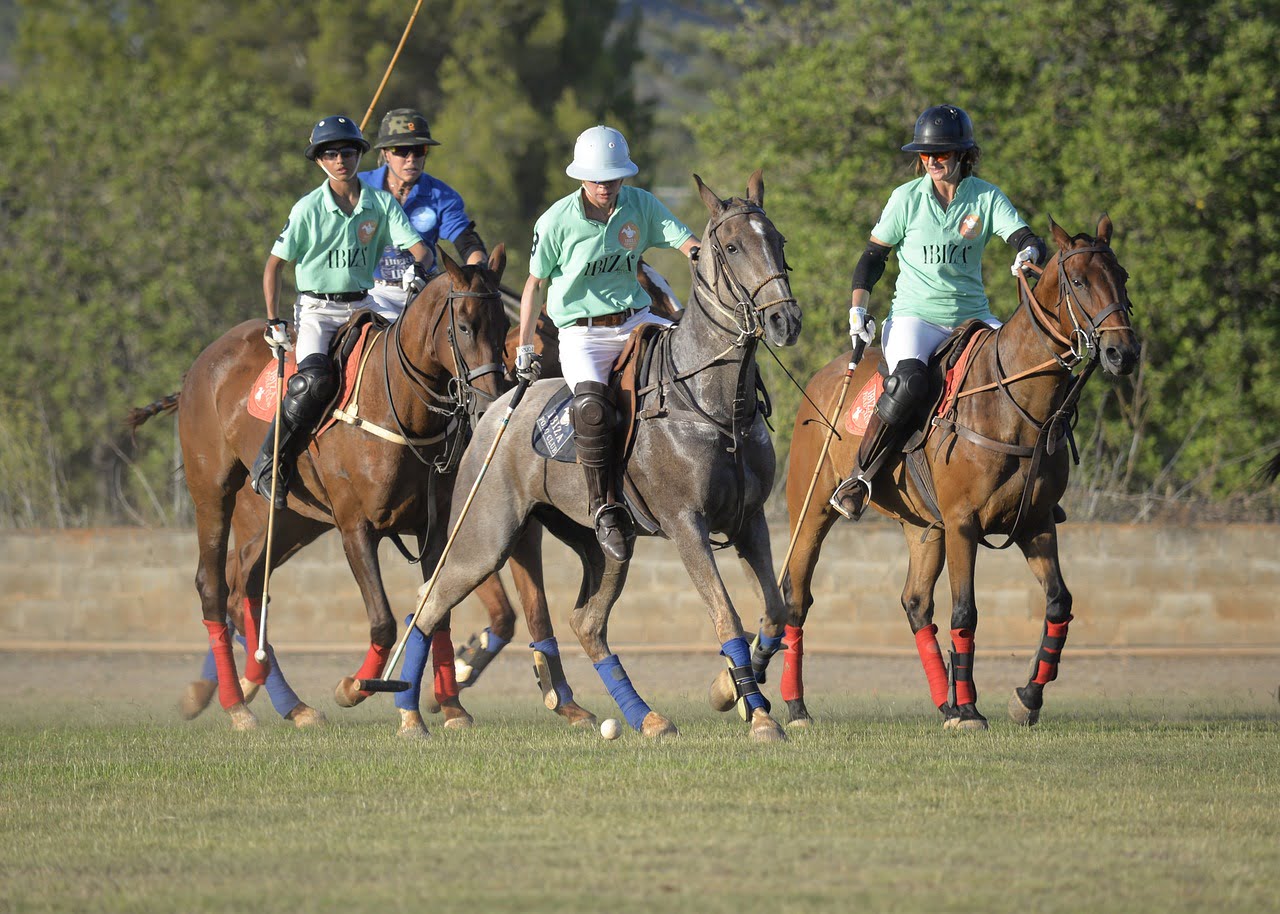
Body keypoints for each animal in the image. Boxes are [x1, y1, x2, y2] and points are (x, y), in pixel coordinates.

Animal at [393, 169, 802, 741]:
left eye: (779, 241)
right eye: (732, 246)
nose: (786, 320)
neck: (715, 403)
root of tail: (496, 406)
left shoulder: (749, 520)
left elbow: (774, 610)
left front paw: (728, 691)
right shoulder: (686, 523)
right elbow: (727, 615)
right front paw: (759, 714)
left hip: (605, 545)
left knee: (587, 623)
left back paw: (645, 716)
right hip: (484, 535)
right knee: (429, 604)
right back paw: (411, 716)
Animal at [764, 215, 1138, 730]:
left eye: (1122, 276)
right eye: (1079, 282)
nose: (1125, 352)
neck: (1014, 405)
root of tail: (825, 377)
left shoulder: (1036, 522)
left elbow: (1059, 603)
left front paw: (1025, 698)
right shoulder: (964, 521)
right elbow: (966, 612)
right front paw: (972, 710)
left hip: (924, 526)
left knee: (916, 602)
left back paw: (944, 701)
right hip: (813, 505)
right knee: (797, 593)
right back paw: (798, 706)